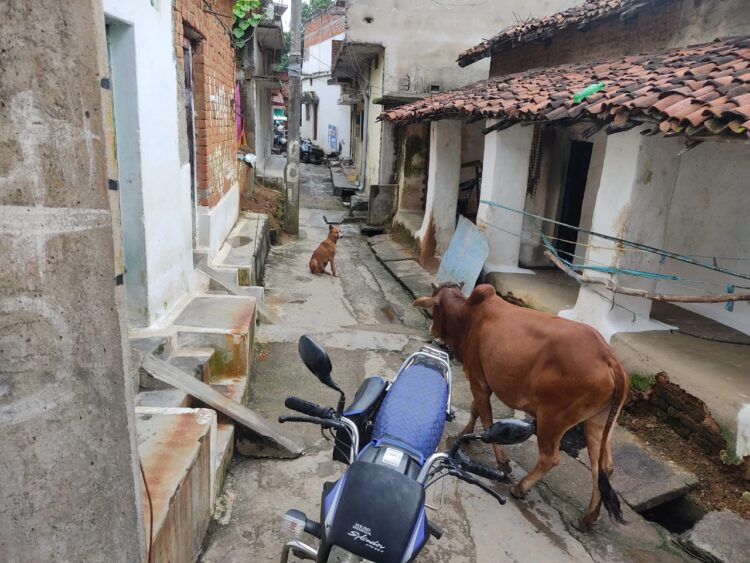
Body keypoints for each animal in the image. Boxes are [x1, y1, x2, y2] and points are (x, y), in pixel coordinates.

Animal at [414, 284, 632, 532]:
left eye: (435, 308)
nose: (432, 329)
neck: (468, 315)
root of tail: (611, 360)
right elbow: (475, 410)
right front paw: (465, 434)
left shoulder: (478, 380)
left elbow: (486, 418)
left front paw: (503, 462)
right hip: (597, 422)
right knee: (602, 467)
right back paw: (588, 518)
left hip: (552, 418)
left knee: (550, 458)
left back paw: (520, 488)